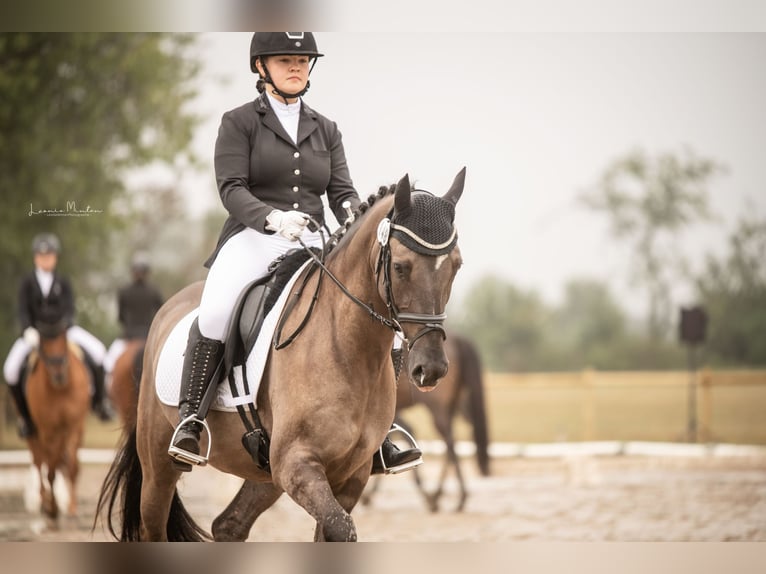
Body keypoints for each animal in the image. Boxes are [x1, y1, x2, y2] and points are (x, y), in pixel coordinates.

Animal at [23, 320, 91, 520]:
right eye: (43, 340)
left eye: (64, 335)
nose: (59, 374)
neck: (60, 390)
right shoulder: (47, 430)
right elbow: (50, 469)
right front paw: (52, 508)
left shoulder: (73, 426)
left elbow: (71, 466)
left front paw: (72, 508)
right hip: (34, 433)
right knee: (39, 463)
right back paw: (44, 502)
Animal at [96, 169, 468, 544]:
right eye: (402, 267)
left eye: (456, 266)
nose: (432, 368)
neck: (346, 349)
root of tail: (168, 309)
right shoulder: (297, 464)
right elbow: (341, 528)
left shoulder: (351, 474)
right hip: (159, 464)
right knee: (154, 524)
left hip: (264, 472)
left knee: (228, 525)